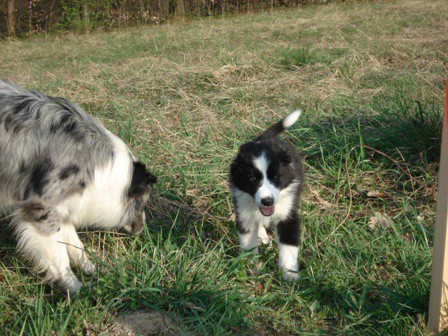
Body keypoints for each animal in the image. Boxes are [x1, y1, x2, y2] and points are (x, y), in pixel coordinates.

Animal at [0, 80, 157, 292]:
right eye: (141, 203)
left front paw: (89, 268)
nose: (142, 229)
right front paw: (76, 288)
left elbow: (74, 242)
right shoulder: (42, 208)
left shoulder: (66, 205)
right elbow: (59, 256)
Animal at [231, 111, 304, 280]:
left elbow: (288, 246)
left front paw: (289, 274)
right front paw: (252, 268)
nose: (267, 201)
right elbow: (248, 245)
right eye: (252, 179)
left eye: (275, 178)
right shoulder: (244, 213)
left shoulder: (288, 215)